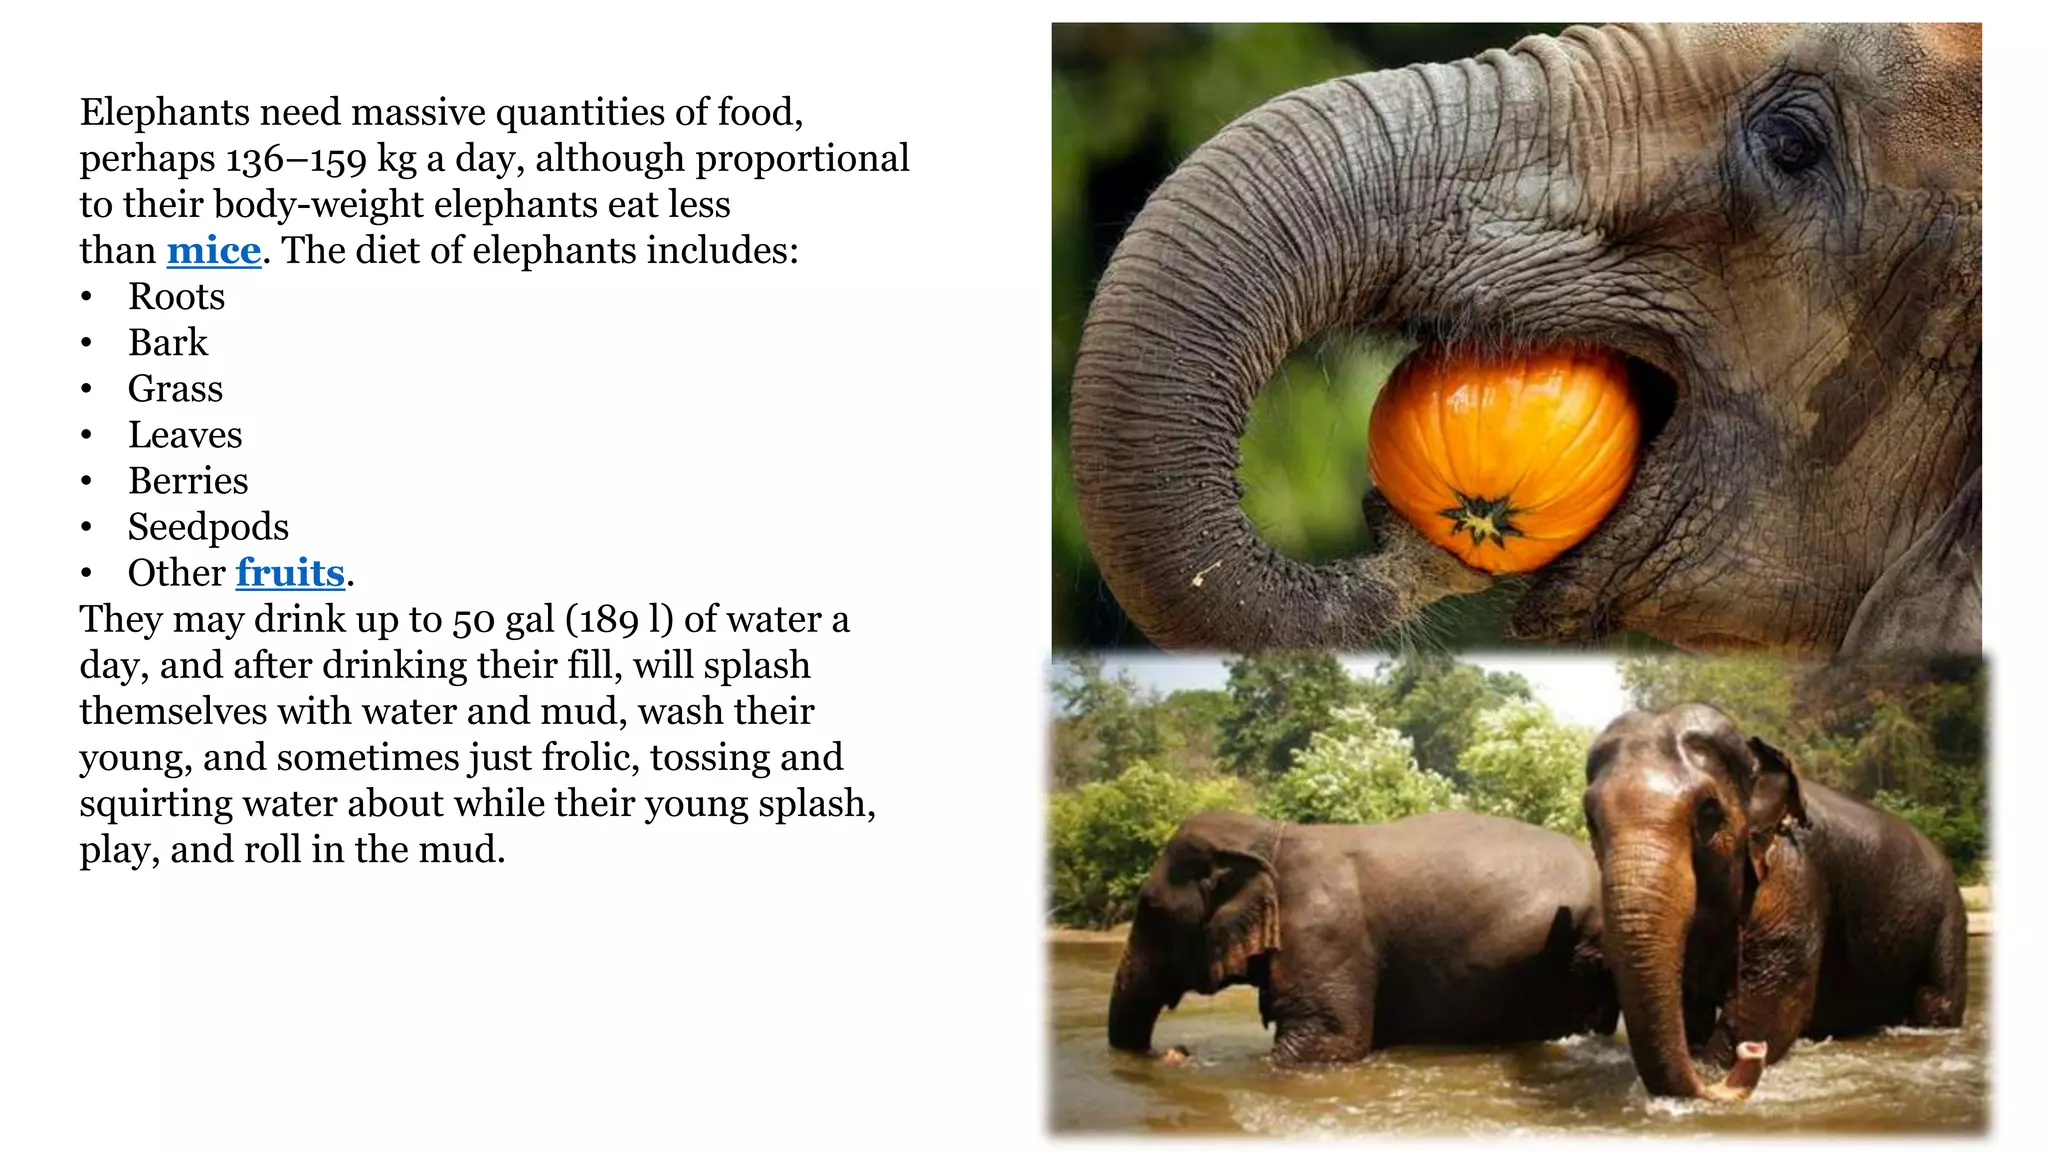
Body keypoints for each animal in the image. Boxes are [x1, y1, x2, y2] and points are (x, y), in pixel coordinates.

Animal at [1583, 703, 1968, 1100]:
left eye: (1708, 812)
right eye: (1590, 818)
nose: (1750, 1054)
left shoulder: (1792, 870)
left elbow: (1771, 998)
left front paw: (1715, 1063)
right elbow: (1693, 1001)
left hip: (1949, 916)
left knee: (1936, 1001)